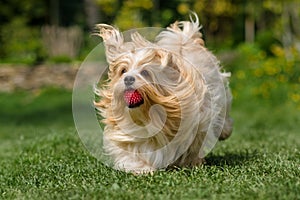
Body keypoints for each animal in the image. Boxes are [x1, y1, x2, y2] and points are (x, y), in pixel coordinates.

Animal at [95, 14, 233, 173]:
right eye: (123, 71)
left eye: (145, 72)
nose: (128, 79)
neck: (150, 115)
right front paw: (141, 168)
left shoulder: (200, 120)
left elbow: (194, 145)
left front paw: (191, 161)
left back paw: (225, 131)